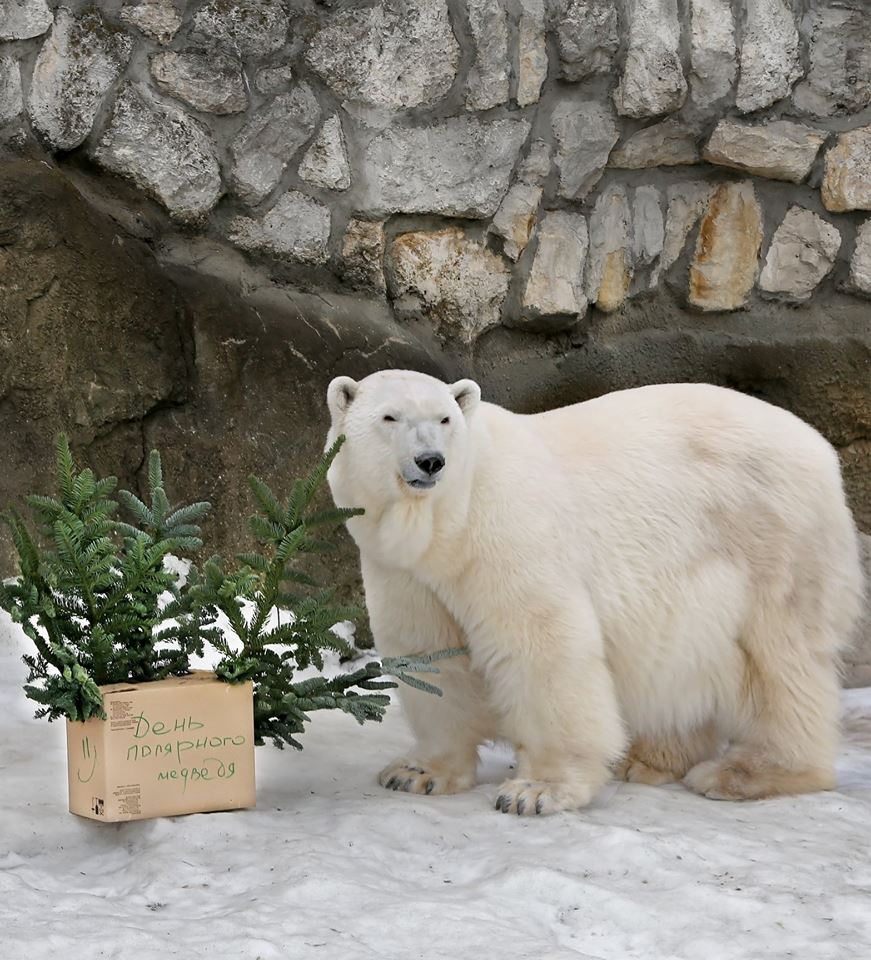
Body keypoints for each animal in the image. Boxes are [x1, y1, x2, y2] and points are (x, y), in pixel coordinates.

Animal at [328, 372, 864, 812]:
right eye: (389, 417)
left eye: (444, 418)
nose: (430, 461)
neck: (449, 521)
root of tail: (819, 446)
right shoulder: (406, 571)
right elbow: (430, 655)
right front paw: (415, 772)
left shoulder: (506, 531)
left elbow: (541, 645)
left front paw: (537, 790)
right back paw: (649, 757)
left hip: (769, 539)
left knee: (779, 660)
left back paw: (748, 772)